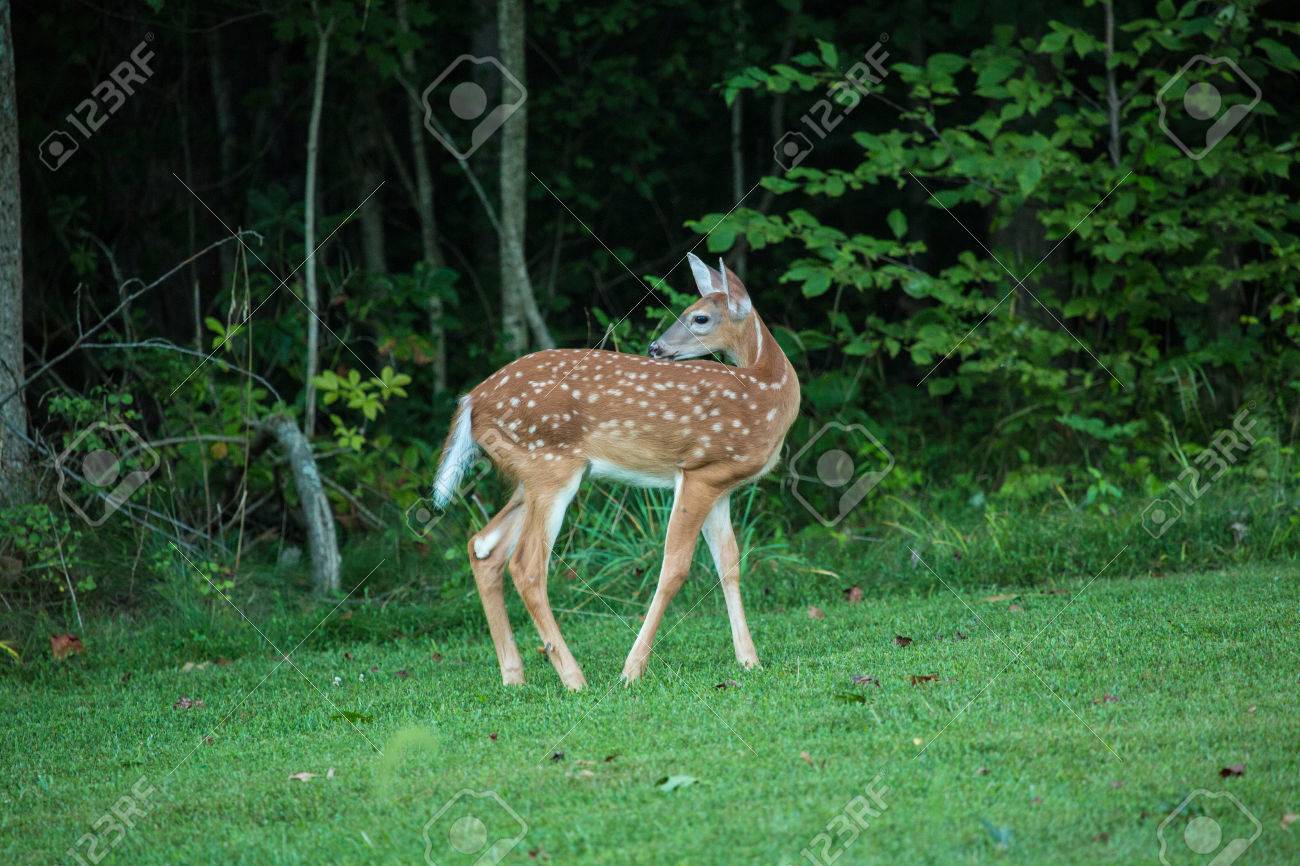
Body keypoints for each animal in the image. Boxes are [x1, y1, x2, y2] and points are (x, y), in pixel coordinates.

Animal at [432, 254, 800, 690]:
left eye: (700, 317)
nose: (655, 347)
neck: (768, 391)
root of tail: (471, 400)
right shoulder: (700, 470)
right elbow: (675, 568)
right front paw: (632, 669)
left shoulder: (720, 485)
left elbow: (729, 564)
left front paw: (749, 660)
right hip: (550, 464)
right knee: (526, 565)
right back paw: (574, 678)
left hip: (529, 475)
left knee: (484, 547)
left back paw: (514, 675)